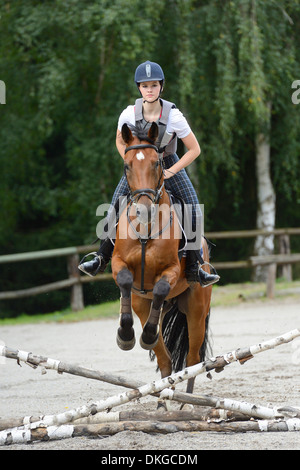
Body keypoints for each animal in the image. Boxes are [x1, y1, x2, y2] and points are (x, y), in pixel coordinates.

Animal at [111, 122, 212, 396]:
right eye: (127, 165)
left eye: (157, 163)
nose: (143, 210)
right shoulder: (117, 264)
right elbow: (125, 280)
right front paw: (126, 336)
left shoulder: (172, 270)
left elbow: (160, 287)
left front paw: (145, 335)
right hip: (144, 306)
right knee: (166, 360)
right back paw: (163, 399)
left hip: (197, 309)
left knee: (192, 360)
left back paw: (186, 400)